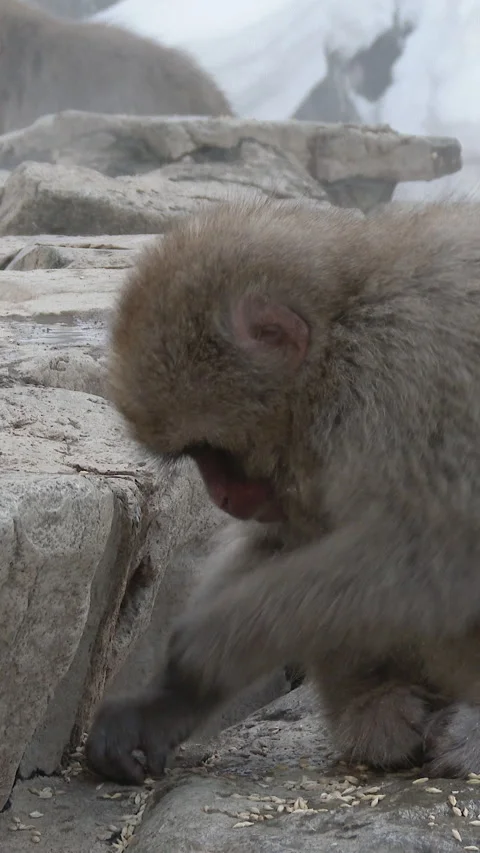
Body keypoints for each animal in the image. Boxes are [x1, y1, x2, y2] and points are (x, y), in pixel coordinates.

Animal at [86, 195, 480, 785]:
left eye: (211, 450)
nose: (222, 498)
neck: (345, 326)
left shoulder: (411, 375)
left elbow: (443, 560)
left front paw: (196, 663)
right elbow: (283, 540)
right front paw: (164, 703)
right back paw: (374, 706)